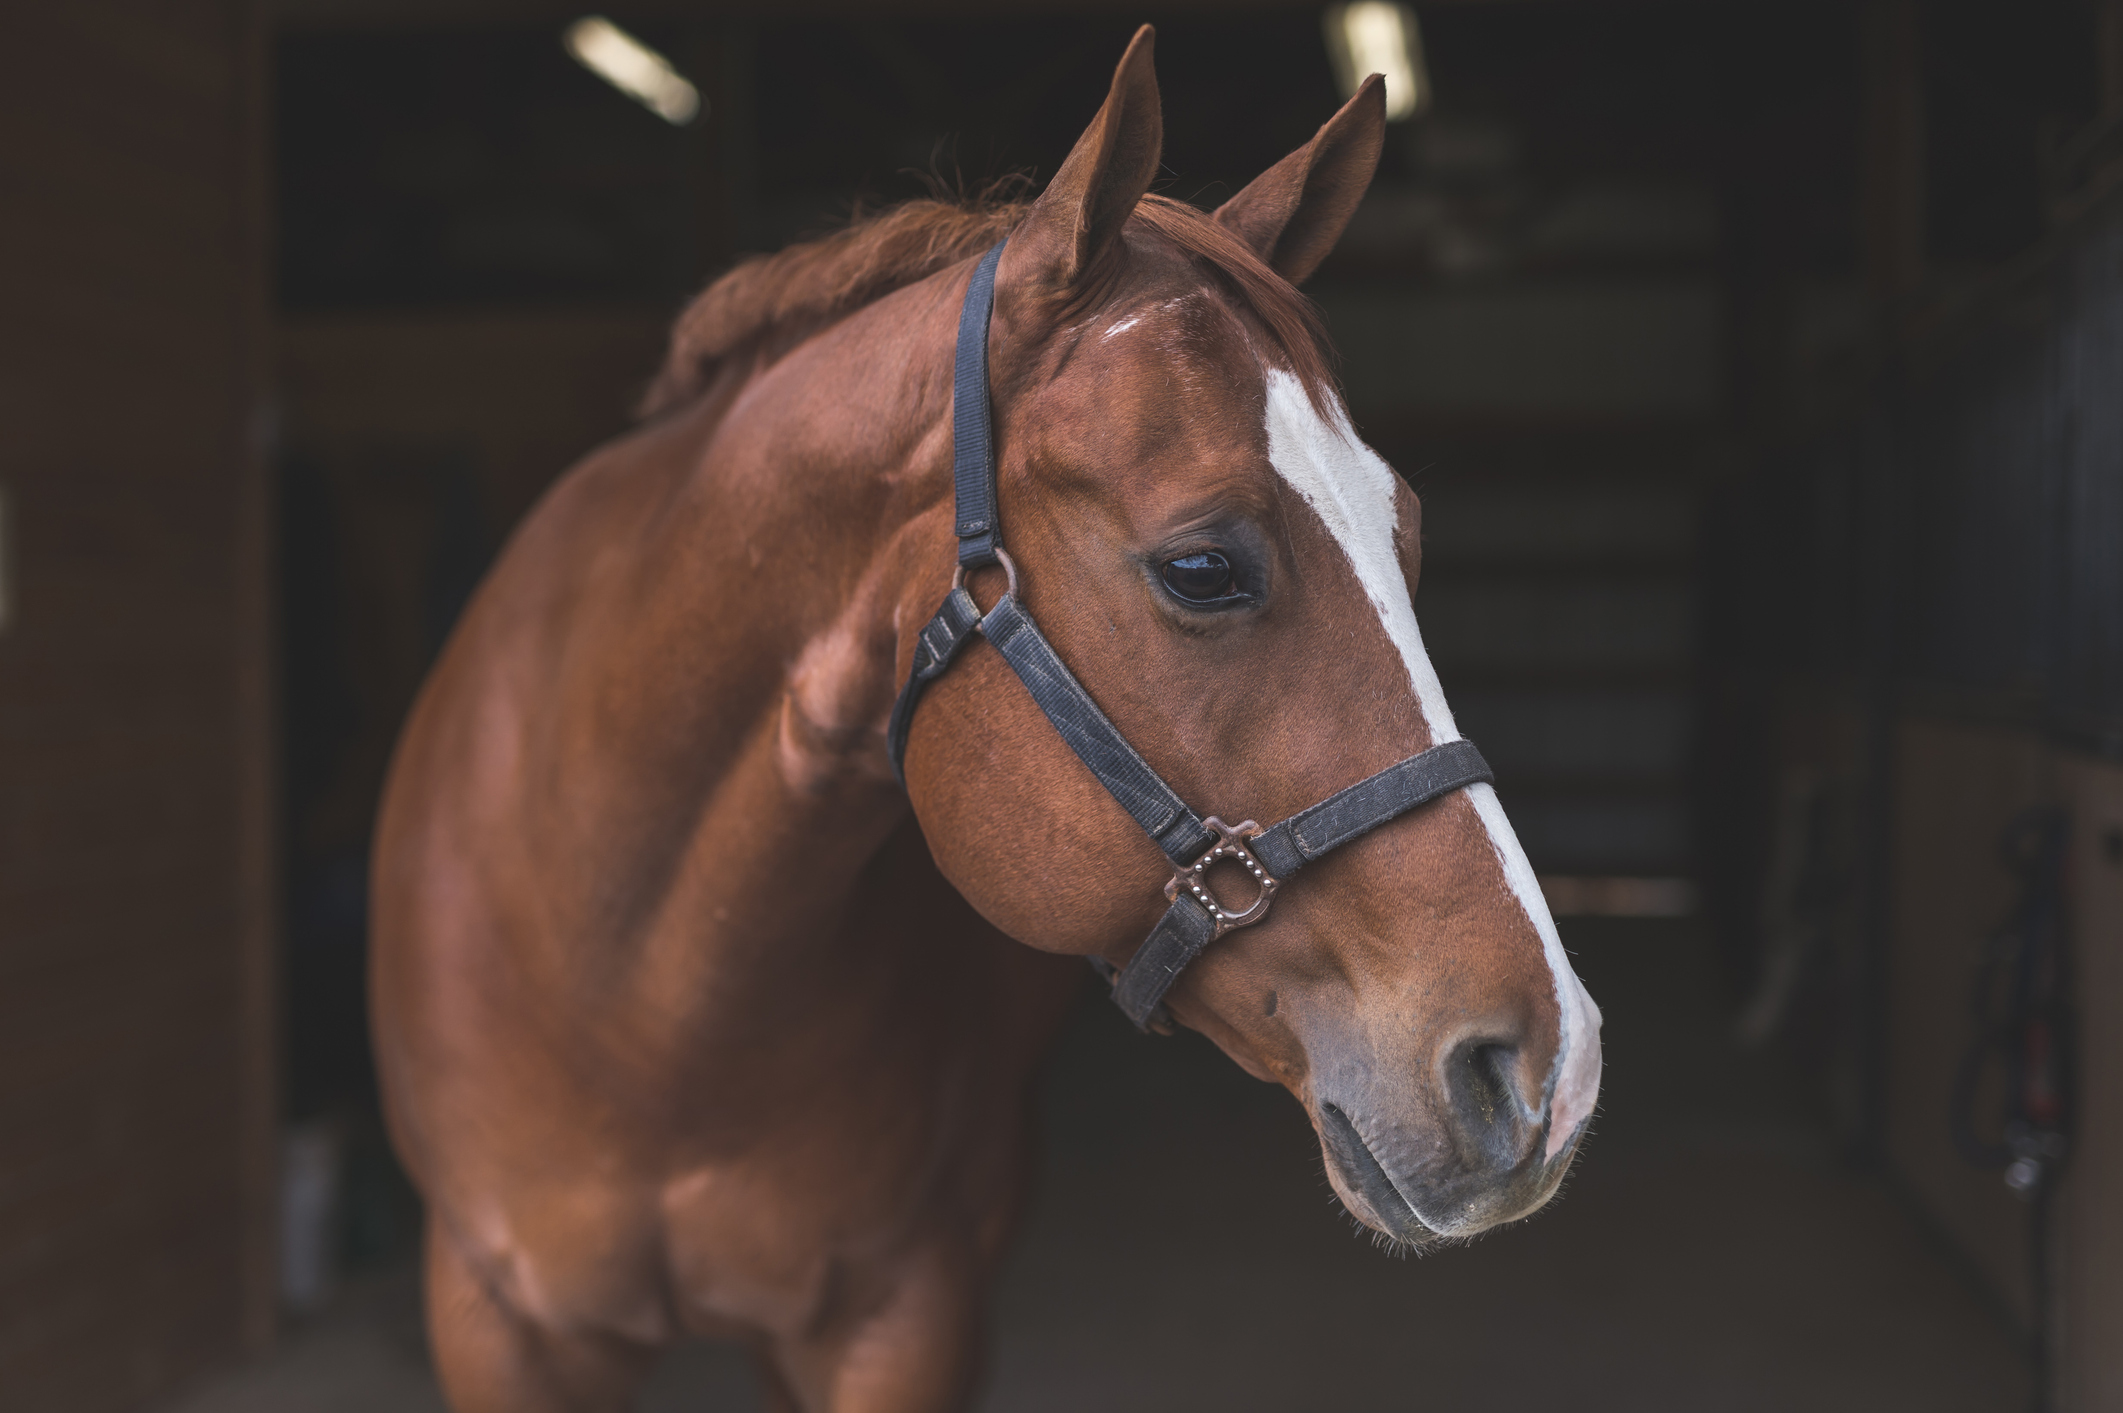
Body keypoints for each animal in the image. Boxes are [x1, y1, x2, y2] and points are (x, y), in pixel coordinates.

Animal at [371, 27, 1602, 1413]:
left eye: (1406, 534)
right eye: (1200, 568)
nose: (1547, 1072)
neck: (643, 1000)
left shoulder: (907, 1315)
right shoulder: (499, 1325)